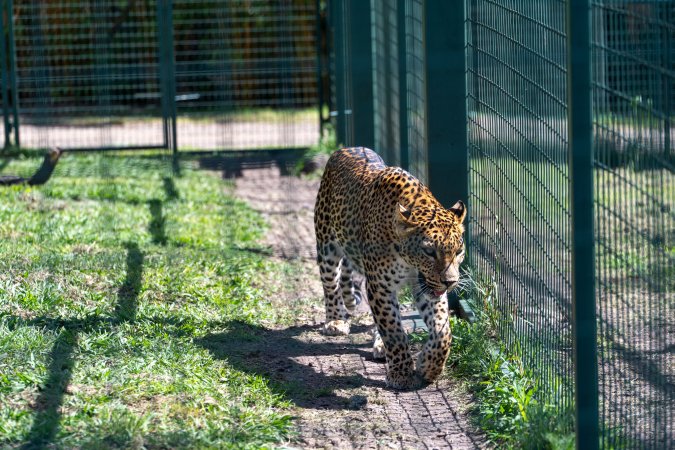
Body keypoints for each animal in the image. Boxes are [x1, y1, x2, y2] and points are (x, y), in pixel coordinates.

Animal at [314, 147, 466, 390]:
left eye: (459, 251)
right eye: (429, 252)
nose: (450, 282)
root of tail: (345, 149)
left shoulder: (427, 287)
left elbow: (443, 331)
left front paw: (428, 366)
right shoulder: (380, 286)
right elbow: (393, 330)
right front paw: (401, 374)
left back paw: (379, 345)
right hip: (326, 245)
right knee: (331, 285)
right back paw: (336, 321)